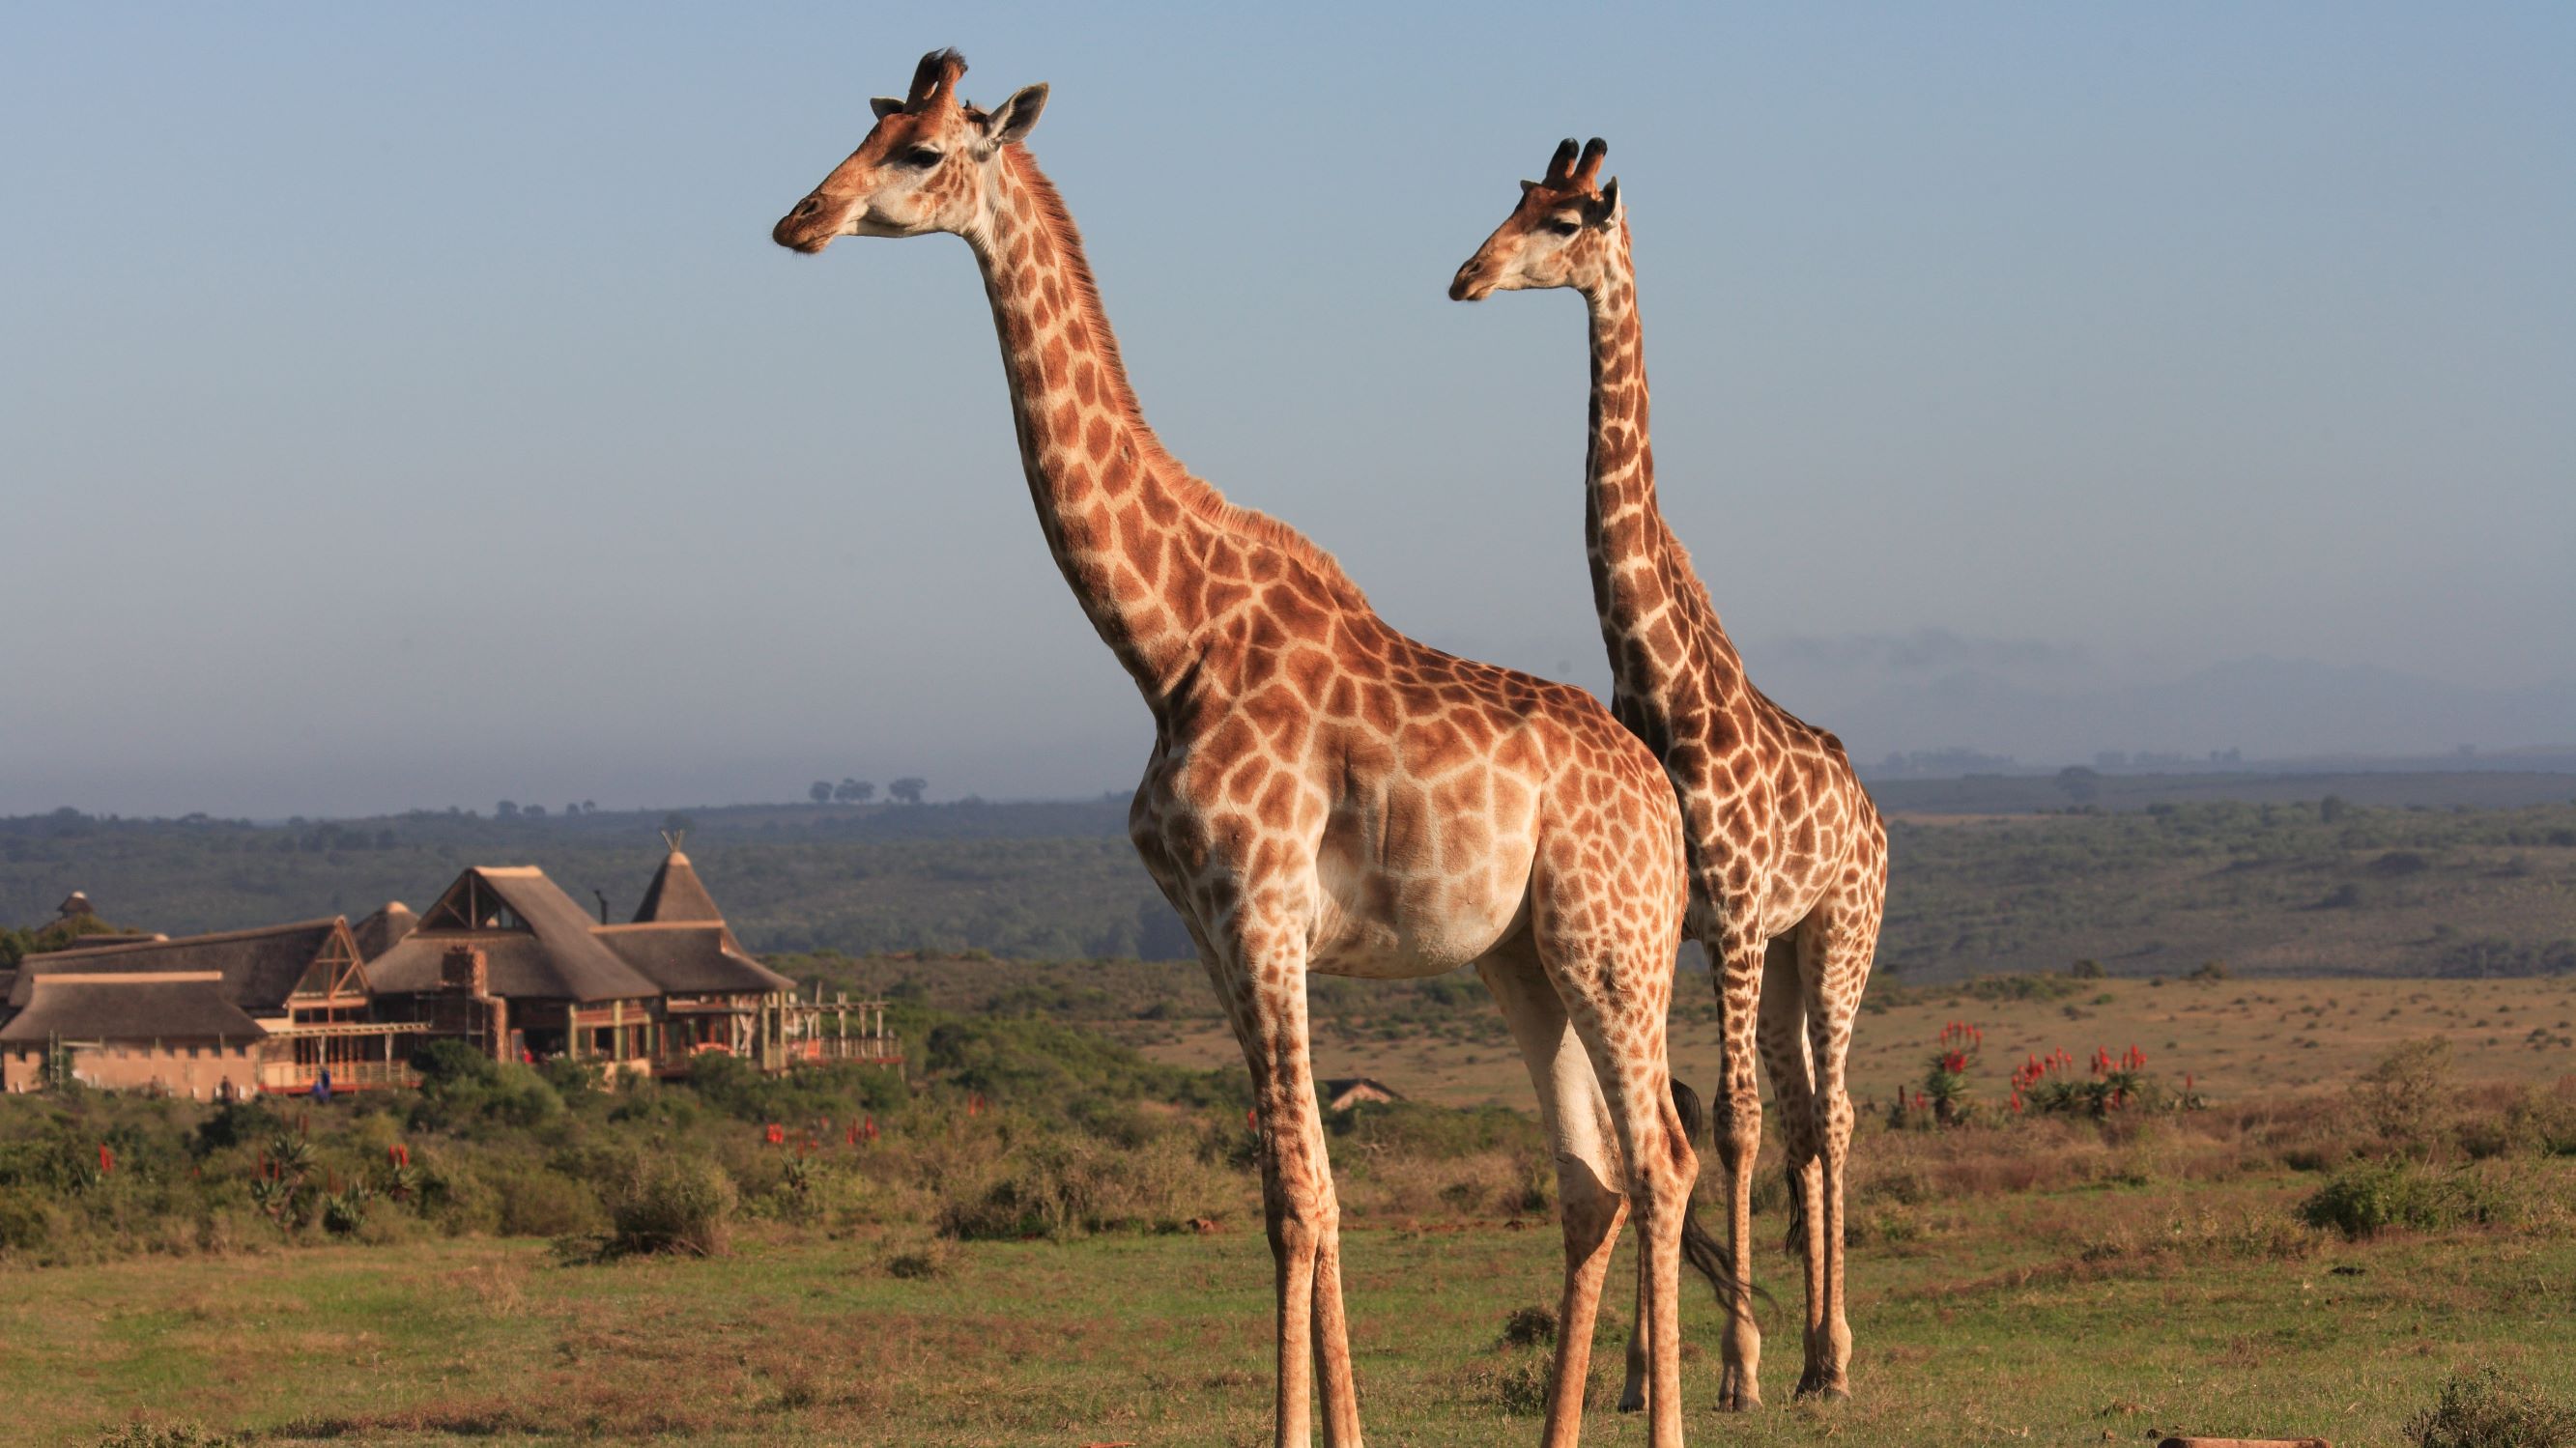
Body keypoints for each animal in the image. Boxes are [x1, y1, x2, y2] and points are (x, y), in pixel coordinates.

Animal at [773, 53, 1707, 1447]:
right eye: (867, 126)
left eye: (923, 151)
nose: (801, 221)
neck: (1164, 638)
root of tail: (1657, 792)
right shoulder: (1214, 932)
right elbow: (1286, 1185)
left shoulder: (1264, 911)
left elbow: (1305, 1192)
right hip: (1523, 959)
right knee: (1592, 1172)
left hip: (1614, 942)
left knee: (1660, 1157)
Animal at [1450, 138, 1890, 1409]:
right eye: (1512, 201)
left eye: (1568, 221)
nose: (1465, 276)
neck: (1663, 685)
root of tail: (1872, 812)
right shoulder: (1683, 924)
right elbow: (1674, 1119)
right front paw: (1645, 1373)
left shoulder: (1729, 915)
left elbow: (1727, 1124)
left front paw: (1733, 1366)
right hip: (1785, 953)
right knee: (1804, 1114)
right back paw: (1810, 1352)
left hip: (1836, 932)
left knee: (1830, 1112)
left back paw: (1831, 1355)